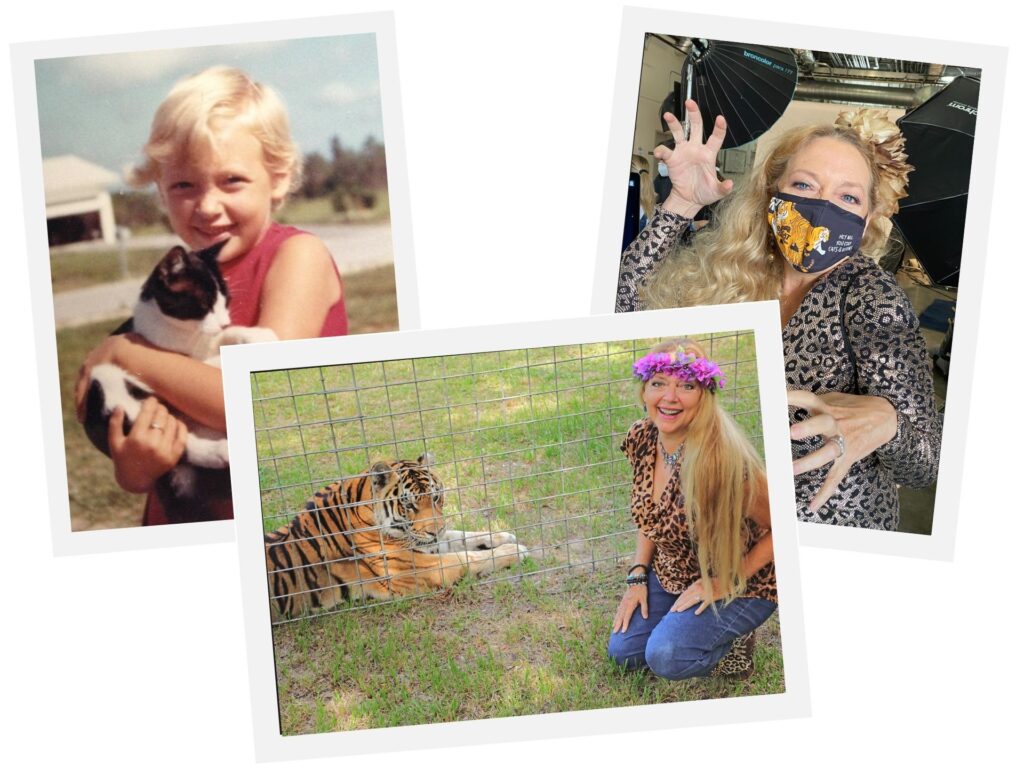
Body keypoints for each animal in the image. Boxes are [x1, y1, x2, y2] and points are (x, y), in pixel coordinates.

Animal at [83, 241, 276, 524]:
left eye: (226, 301)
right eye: (204, 303)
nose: (224, 321)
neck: (185, 334)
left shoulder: (209, 339)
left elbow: (224, 338)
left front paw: (259, 334)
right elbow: (208, 361)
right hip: (105, 386)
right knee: (179, 440)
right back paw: (218, 451)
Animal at [264, 454, 528, 622]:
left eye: (435, 497)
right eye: (409, 505)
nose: (435, 530)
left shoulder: (427, 543)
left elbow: (461, 536)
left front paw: (503, 535)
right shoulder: (417, 567)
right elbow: (467, 557)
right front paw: (516, 551)